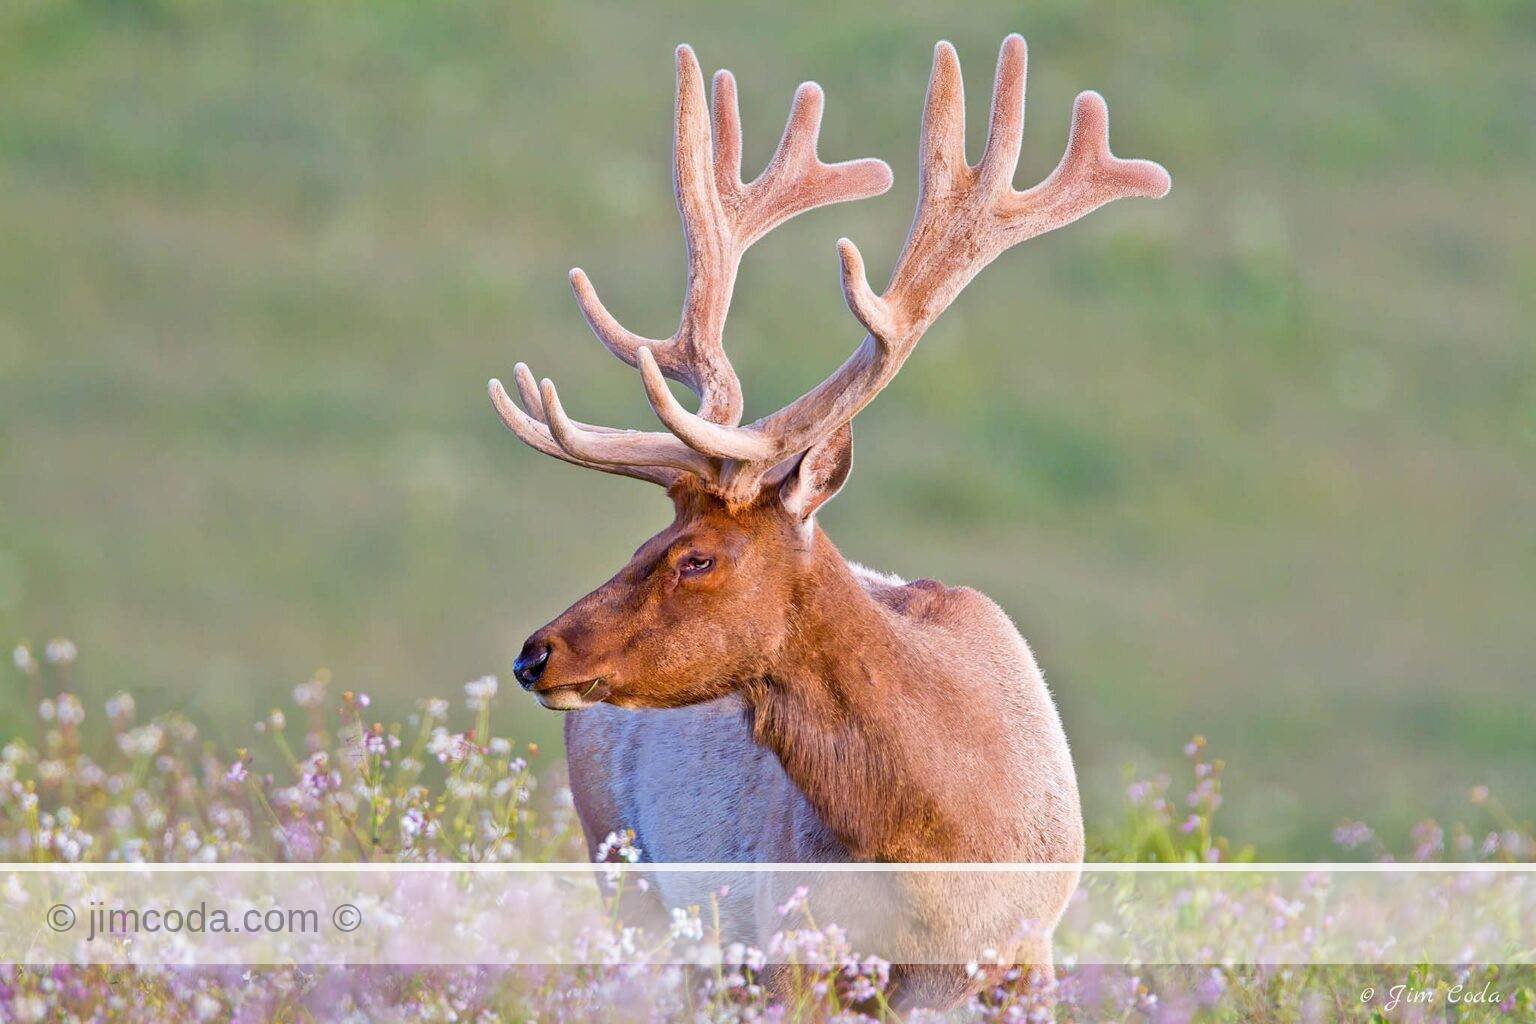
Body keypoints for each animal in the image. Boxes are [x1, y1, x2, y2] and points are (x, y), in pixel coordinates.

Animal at [488, 35, 1168, 1008]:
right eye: (645, 540)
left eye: (695, 557)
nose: (535, 652)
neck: (940, 856)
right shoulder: (793, 943)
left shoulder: (1029, 945)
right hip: (631, 885)